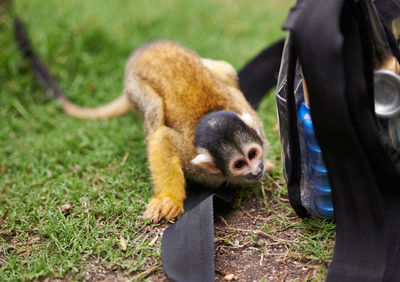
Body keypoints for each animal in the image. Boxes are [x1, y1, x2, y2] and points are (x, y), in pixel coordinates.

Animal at [18, 37, 270, 223]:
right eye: (239, 164)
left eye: (253, 154)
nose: (257, 170)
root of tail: (145, 49)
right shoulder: (193, 160)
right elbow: (162, 139)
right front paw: (170, 199)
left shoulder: (254, 121)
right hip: (134, 85)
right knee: (154, 110)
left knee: (225, 70)